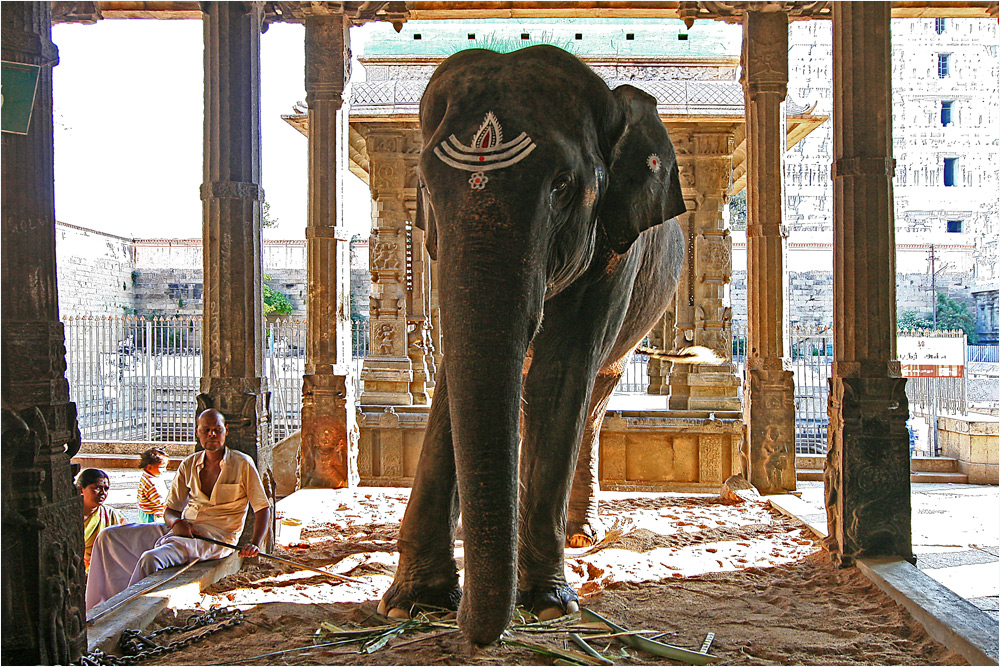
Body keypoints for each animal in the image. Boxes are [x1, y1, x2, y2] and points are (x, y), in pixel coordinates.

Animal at [378, 45, 692, 648]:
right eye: (425, 186)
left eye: (563, 185)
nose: (472, 630)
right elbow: (456, 376)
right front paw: (410, 603)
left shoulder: (613, 254)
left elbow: (559, 376)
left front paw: (547, 604)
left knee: (592, 399)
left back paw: (579, 534)